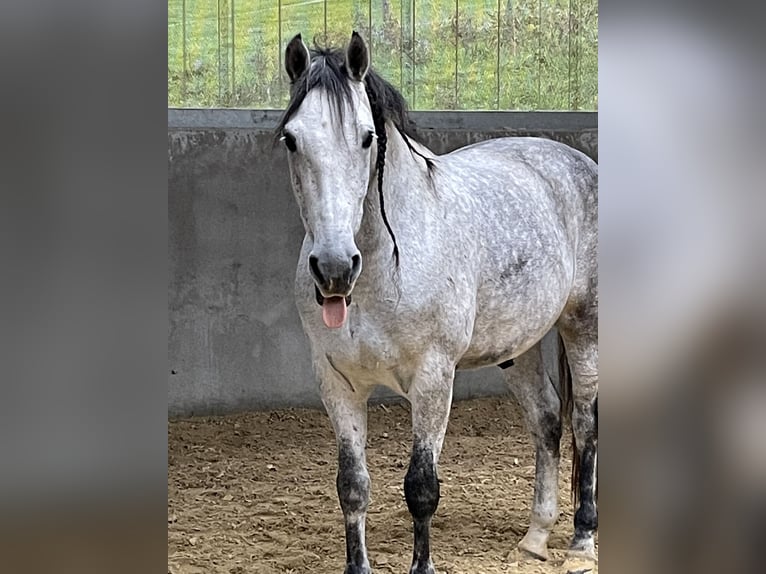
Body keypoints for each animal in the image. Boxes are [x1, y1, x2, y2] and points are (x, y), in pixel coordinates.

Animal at [278, 32, 600, 574]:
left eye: (366, 137)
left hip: (583, 326)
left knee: (585, 422)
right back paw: (534, 538)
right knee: (547, 419)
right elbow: (352, 487)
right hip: (518, 347)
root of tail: (577, 162)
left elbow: (421, 488)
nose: (335, 269)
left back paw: (581, 541)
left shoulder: (433, 377)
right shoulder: (337, 381)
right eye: (291, 139)